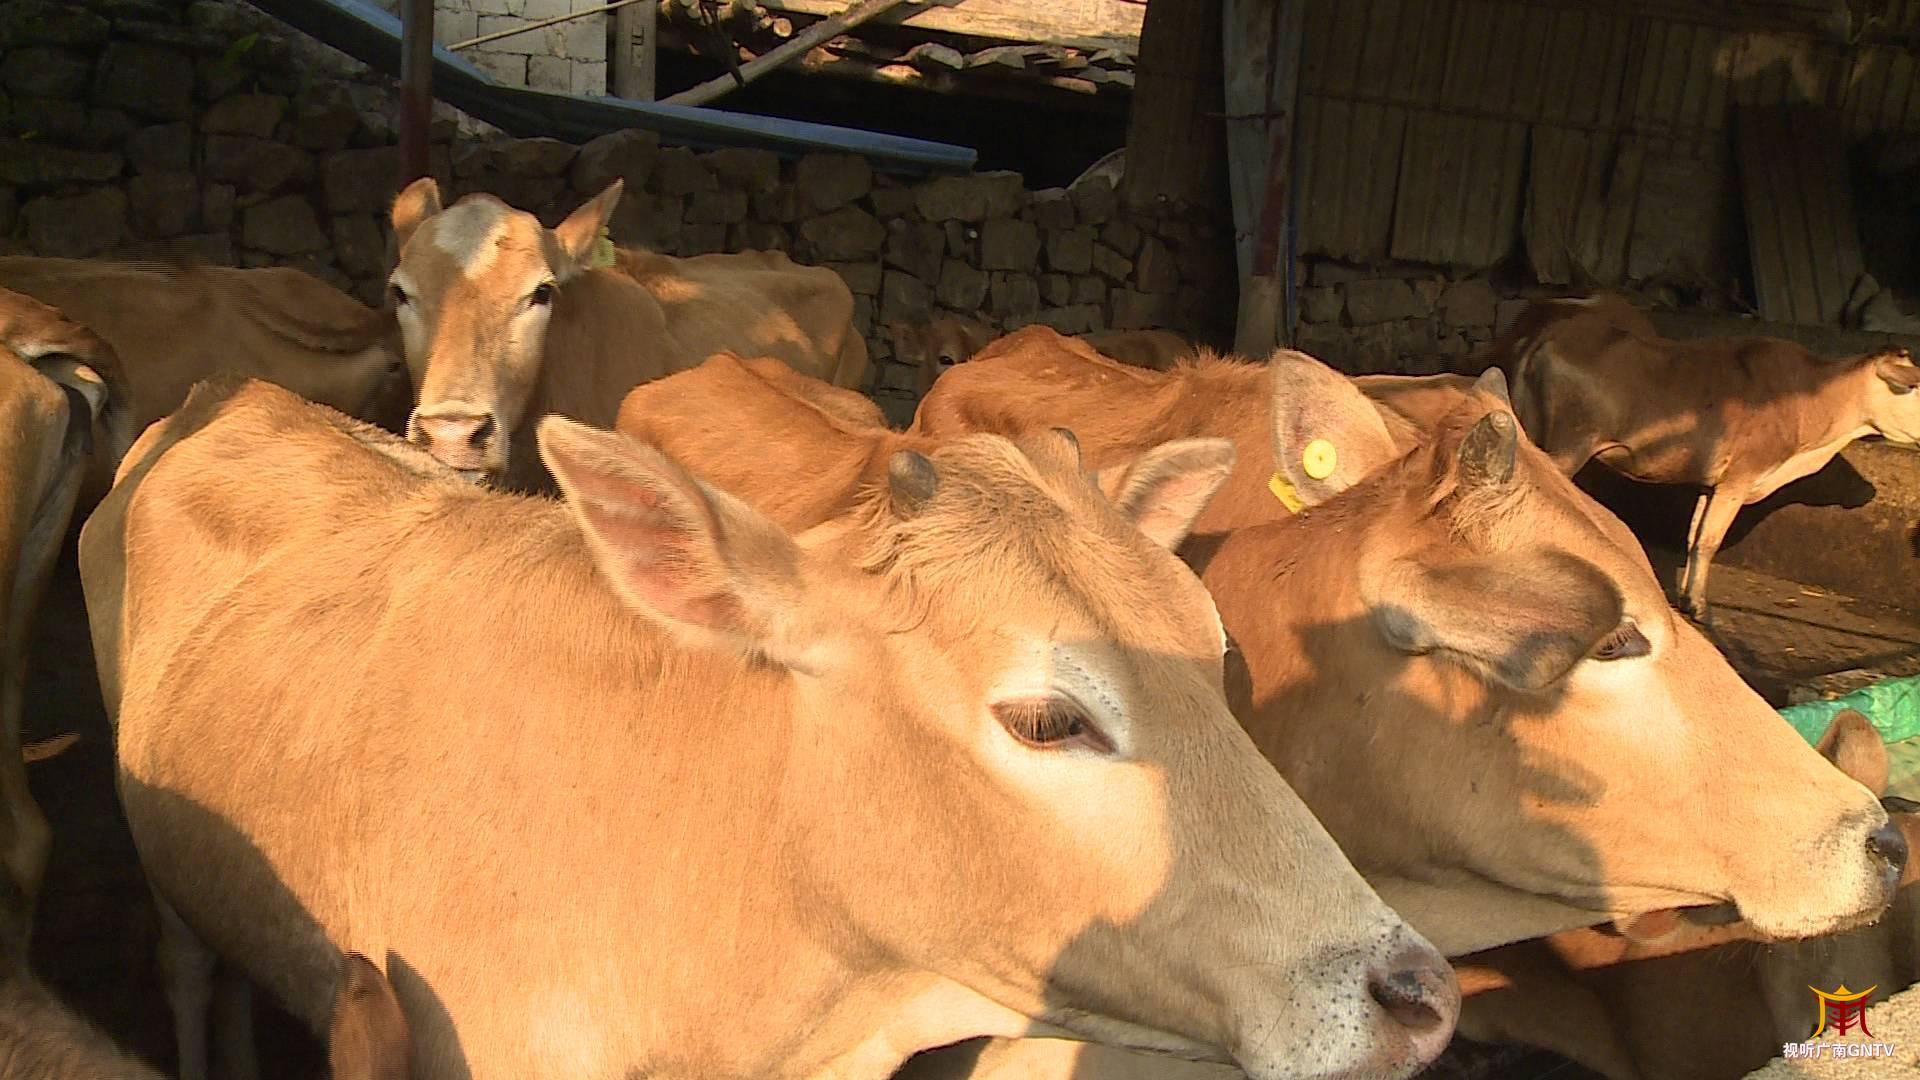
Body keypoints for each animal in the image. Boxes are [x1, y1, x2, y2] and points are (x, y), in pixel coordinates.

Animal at [1474, 292, 1912, 614]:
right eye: (1913, 387)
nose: (1867, 491)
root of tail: (1550, 333)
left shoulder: (1710, 483)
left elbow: (1694, 537)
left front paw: (1686, 598)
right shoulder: (1738, 479)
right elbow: (1710, 541)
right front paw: (1700, 608)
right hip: (1571, 444)